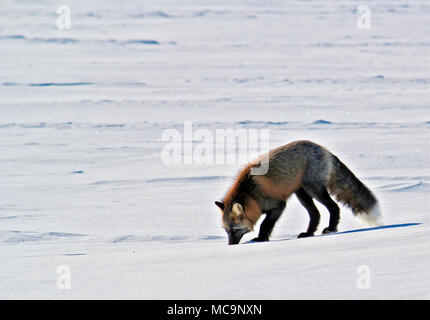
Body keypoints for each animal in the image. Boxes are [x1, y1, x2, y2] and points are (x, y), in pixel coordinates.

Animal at [215, 140, 382, 245]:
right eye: (226, 231)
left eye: (234, 230)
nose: (231, 245)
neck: (251, 194)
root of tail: (323, 149)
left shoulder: (278, 205)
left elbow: (265, 224)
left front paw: (261, 239)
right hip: (301, 193)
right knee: (315, 214)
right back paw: (308, 233)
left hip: (313, 189)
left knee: (333, 207)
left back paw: (331, 229)